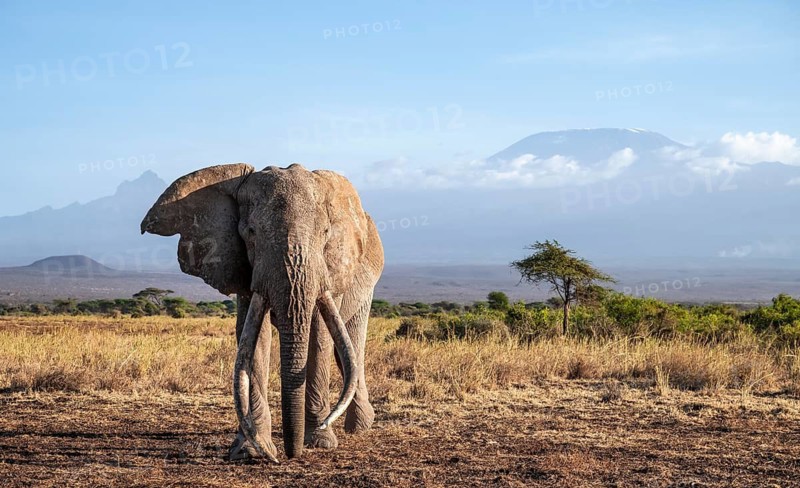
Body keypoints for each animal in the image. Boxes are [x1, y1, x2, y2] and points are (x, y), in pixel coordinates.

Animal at [140, 163, 384, 462]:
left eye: (326, 232)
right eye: (251, 232)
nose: (290, 456)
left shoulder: (332, 268)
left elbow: (320, 335)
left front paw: (321, 441)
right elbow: (255, 338)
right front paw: (251, 449)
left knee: (352, 342)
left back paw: (359, 427)